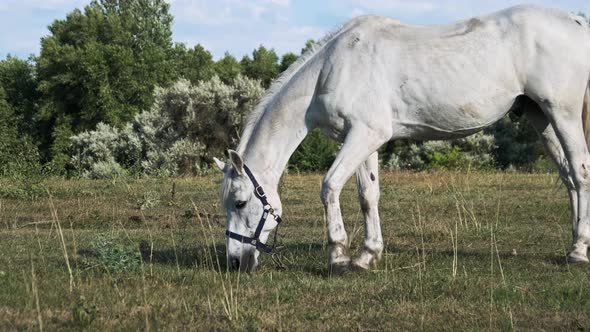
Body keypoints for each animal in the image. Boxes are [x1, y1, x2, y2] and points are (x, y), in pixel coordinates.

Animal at [215, 5, 590, 272]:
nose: (235, 262)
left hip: (563, 113)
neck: (332, 69)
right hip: (541, 116)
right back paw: (574, 245)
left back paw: (578, 251)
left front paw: (338, 257)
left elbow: (330, 186)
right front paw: (367, 256)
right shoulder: (364, 139)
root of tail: (575, 21)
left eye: (240, 202)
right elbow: (368, 195)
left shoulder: (365, 134)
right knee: (568, 178)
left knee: (581, 171)